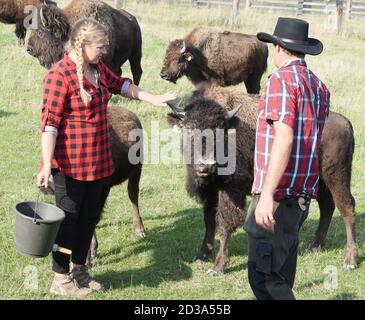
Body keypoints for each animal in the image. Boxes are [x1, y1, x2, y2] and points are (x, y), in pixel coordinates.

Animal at [167, 84, 356, 274]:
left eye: (219, 130)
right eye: (189, 128)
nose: (205, 166)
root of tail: (345, 122)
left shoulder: (229, 189)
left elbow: (225, 221)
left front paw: (218, 266)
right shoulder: (210, 191)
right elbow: (209, 219)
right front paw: (201, 255)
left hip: (337, 177)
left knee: (347, 208)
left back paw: (350, 261)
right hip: (322, 182)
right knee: (327, 207)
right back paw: (314, 247)